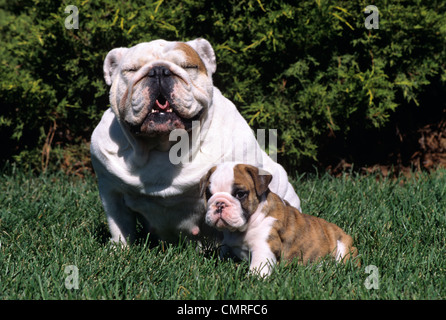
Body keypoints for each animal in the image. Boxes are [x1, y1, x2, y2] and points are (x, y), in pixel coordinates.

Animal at [90, 39, 302, 245]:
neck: (165, 145)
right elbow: (120, 227)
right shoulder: (111, 193)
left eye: (188, 66)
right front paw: (120, 249)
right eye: (131, 70)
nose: (158, 71)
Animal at [200, 164, 360, 276]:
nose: (220, 204)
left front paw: (253, 280)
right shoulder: (227, 245)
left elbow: (258, 267)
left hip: (342, 248)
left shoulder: (264, 247)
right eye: (208, 193)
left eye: (240, 194)